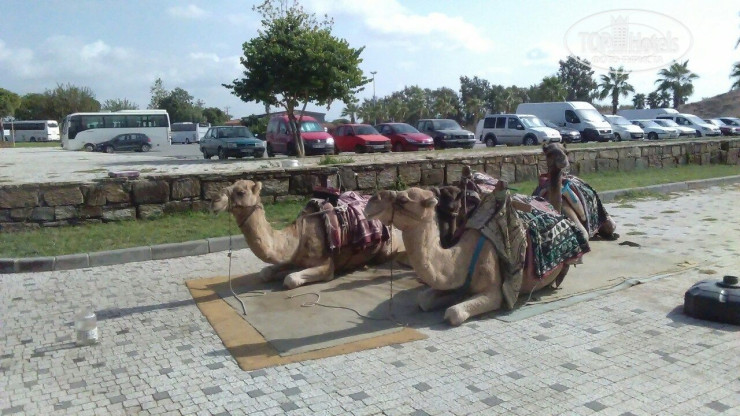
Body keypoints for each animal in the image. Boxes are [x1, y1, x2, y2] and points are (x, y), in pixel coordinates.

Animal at [212, 180, 405, 289]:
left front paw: (290, 274)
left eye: (241, 192)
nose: (215, 201)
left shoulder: (326, 266)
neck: (299, 235)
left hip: (387, 247)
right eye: (229, 185)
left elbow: (291, 279)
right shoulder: (291, 256)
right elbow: (265, 272)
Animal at [365, 186, 586, 326]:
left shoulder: (495, 292)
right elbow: (423, 300)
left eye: (403, 199)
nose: (371, 201)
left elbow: (454, 313)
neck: (461, 258)